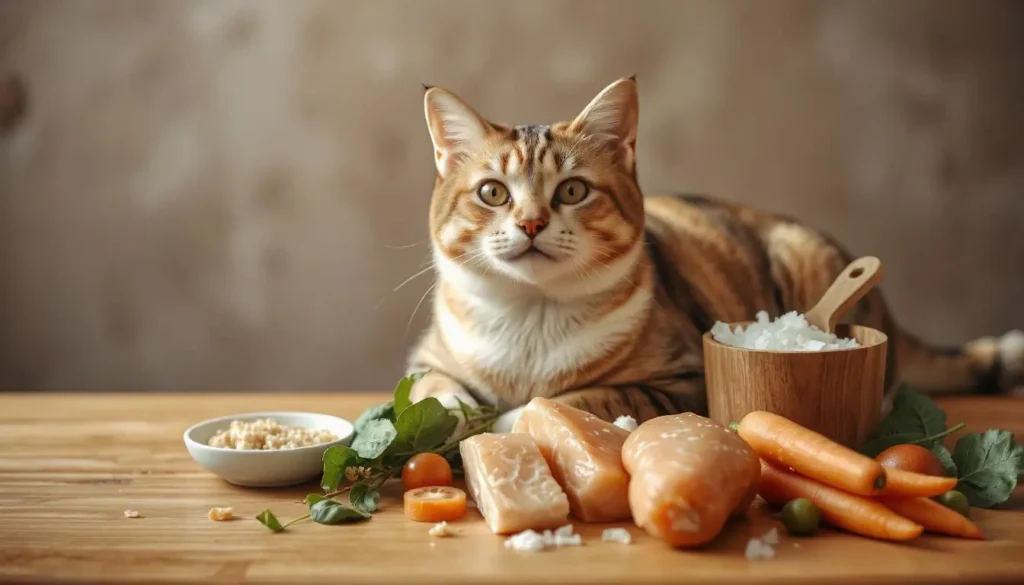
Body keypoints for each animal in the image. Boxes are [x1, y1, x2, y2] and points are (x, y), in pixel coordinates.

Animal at [403, 76, 1019, 430]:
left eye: (572, 191)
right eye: (493, 193)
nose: (531, 222)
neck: (530, 318)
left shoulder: (680, 381)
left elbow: (571, 399)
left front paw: (510, 419)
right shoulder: (426, 361)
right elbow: (434, 393)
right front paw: (456, 415)